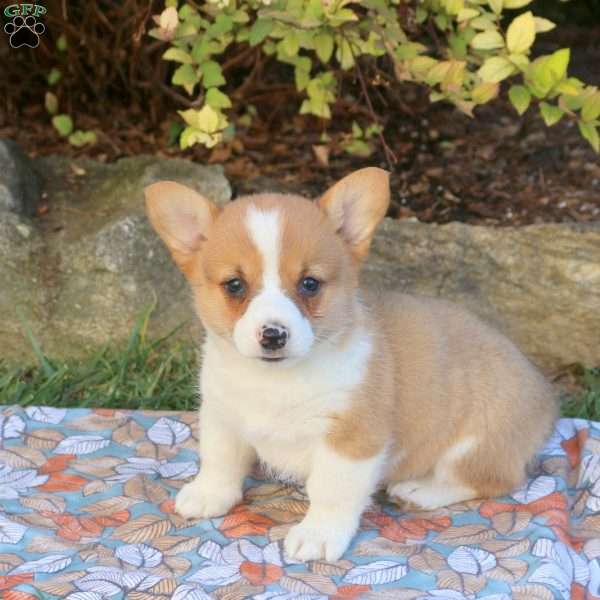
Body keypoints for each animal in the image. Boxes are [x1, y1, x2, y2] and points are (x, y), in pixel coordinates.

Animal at [145, 168, 556, 564]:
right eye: (234, 285)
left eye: (310, 284)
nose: (273, 335)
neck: (276, 381)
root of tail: (546, 398)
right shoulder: (223, 415)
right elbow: (219, 459)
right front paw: (209, 494)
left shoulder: (351, 439)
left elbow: (331, 491)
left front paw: (318, 535)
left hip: (475, 443)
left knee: (495, 479)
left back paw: (420, 490)